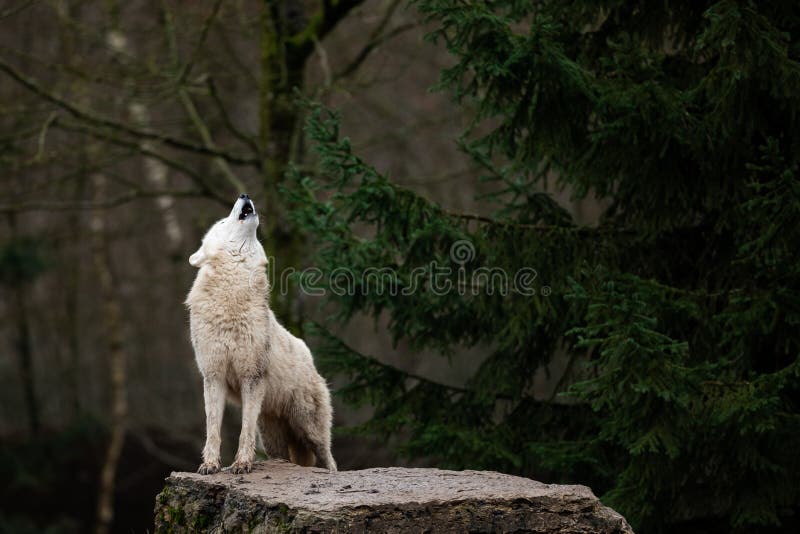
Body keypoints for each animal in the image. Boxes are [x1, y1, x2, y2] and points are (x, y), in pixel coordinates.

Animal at [186, 196, 336, 478]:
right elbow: (212, 429)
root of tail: (308, 355)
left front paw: (242, 464)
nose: (245, 195)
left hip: (309, 428)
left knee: (329, 460)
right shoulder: (213, 376)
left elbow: (244, 430)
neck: (231, 298)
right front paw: (210, 465)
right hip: (274, 437)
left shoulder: (252, 377)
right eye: (222, 222)